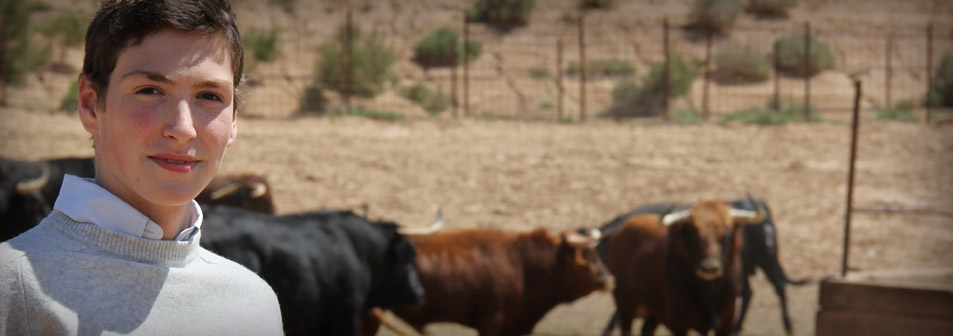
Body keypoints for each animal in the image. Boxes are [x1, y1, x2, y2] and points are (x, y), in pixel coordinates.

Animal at [592, 198, 808, 334]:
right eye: (693, 232)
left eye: (726, 233)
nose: (710, 267)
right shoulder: (677, 321)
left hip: (767, 261)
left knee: (778, 286)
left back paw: (787, 325)